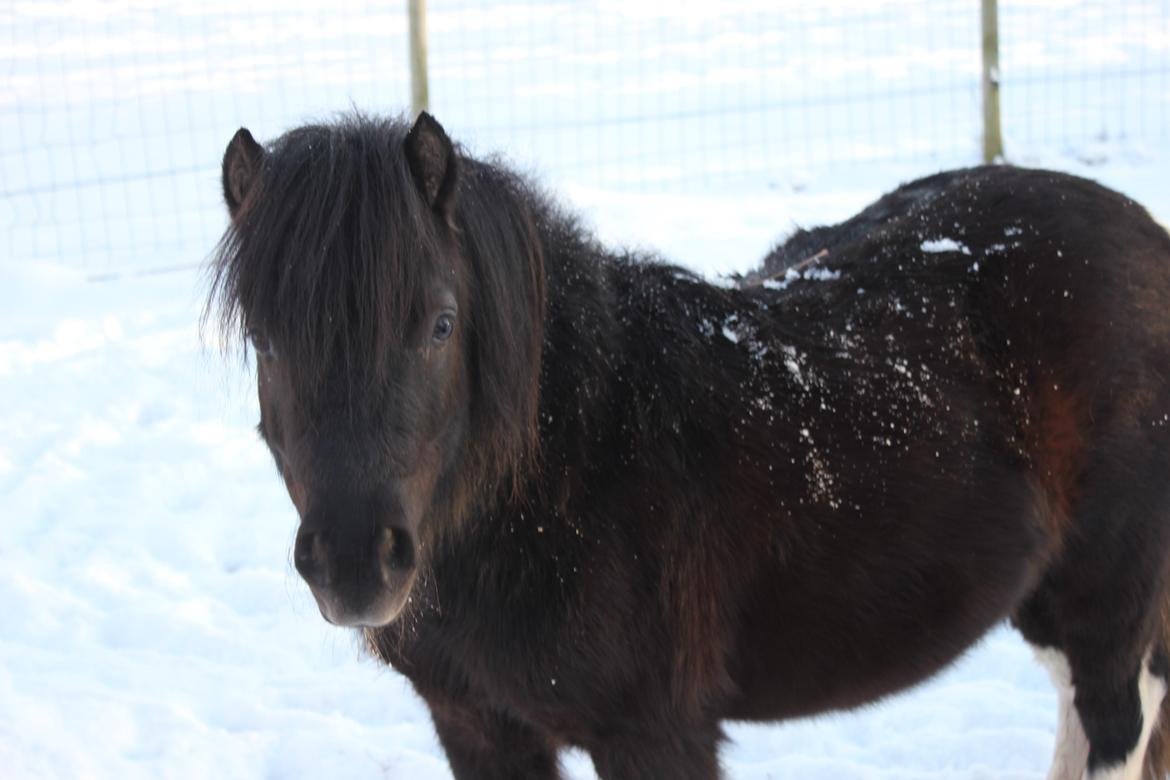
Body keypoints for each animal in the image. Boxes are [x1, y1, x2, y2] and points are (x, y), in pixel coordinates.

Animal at [209, 111, 1170, 780]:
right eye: (265, 341)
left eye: (440, 324)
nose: (354, 564)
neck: (573, 471)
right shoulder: (477, 726)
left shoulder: (654, 732)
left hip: (1106, 604)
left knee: (1116, 724)